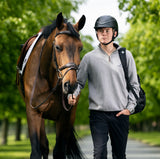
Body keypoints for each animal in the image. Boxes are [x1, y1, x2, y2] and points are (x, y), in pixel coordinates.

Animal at [16, 12, 85, 159]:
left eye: (80, 48)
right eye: (58, 47)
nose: (71, 85)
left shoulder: (66, 116)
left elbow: (59, 151)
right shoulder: (33, 113)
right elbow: (37, 151)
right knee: (44, 146)